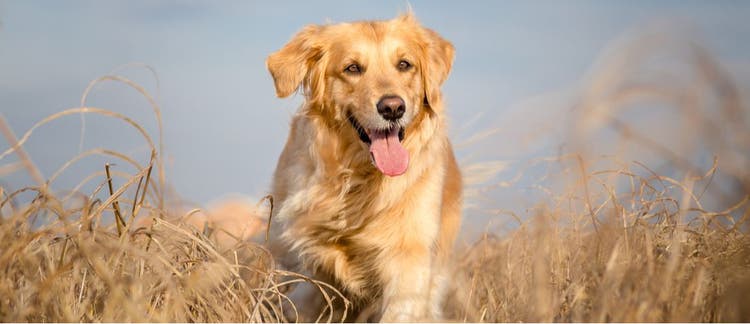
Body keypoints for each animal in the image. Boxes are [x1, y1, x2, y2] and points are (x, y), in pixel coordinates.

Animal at [264, 12, 464, 322]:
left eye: (404, 64)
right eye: (352, 68)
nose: (393, 108)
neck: (359, 180)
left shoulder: (409, 260)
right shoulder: (305, 266)